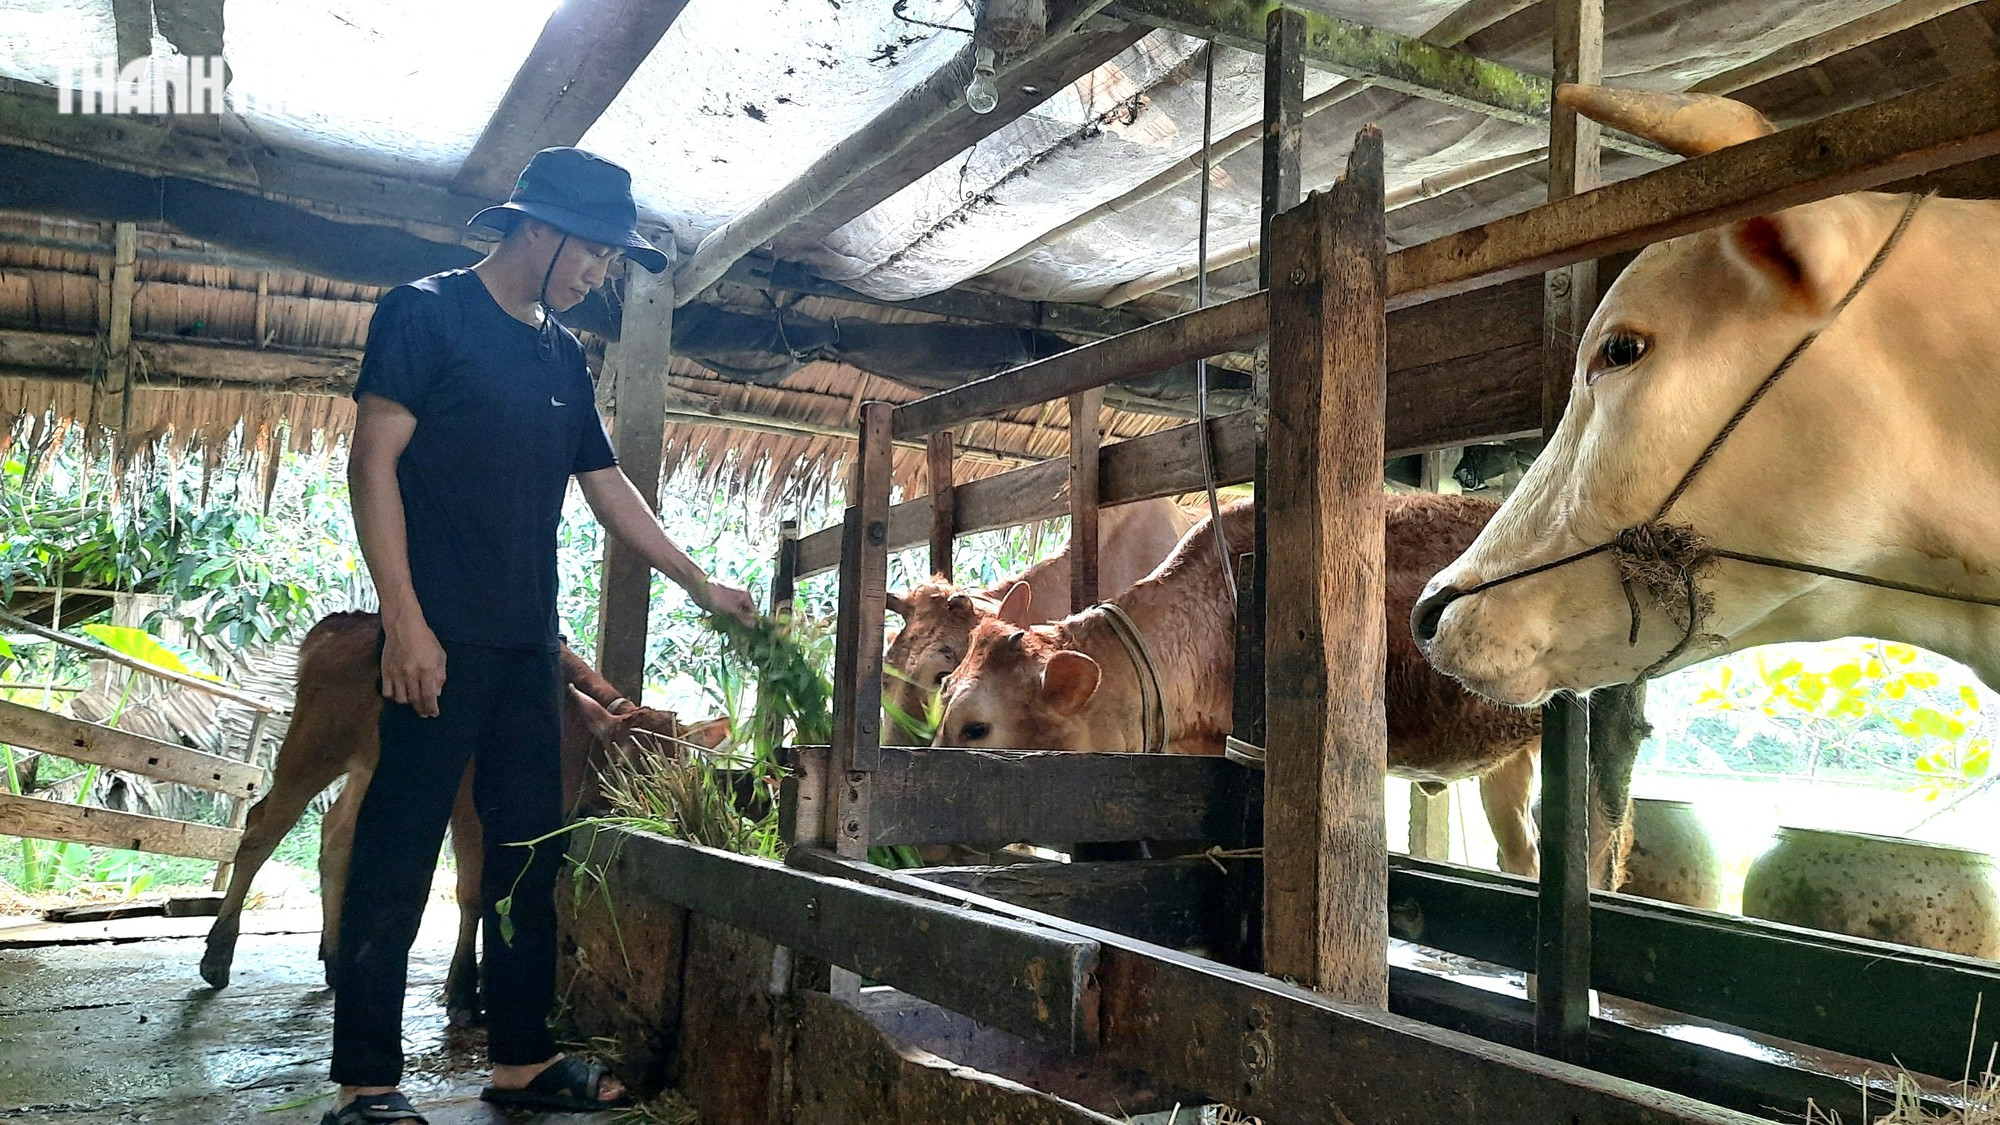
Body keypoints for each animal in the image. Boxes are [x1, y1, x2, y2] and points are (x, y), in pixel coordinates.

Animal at [201, 608, 680, 1020]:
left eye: (680, 766)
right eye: (629, 763)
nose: (659, 811)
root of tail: (342, 624)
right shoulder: (468, 808)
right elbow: (472, 892)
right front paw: (464, 987)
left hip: (370, 767)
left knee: (335, 835)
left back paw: (336, 959)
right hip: (314, 748)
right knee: (262, 829)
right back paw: (218, 954)